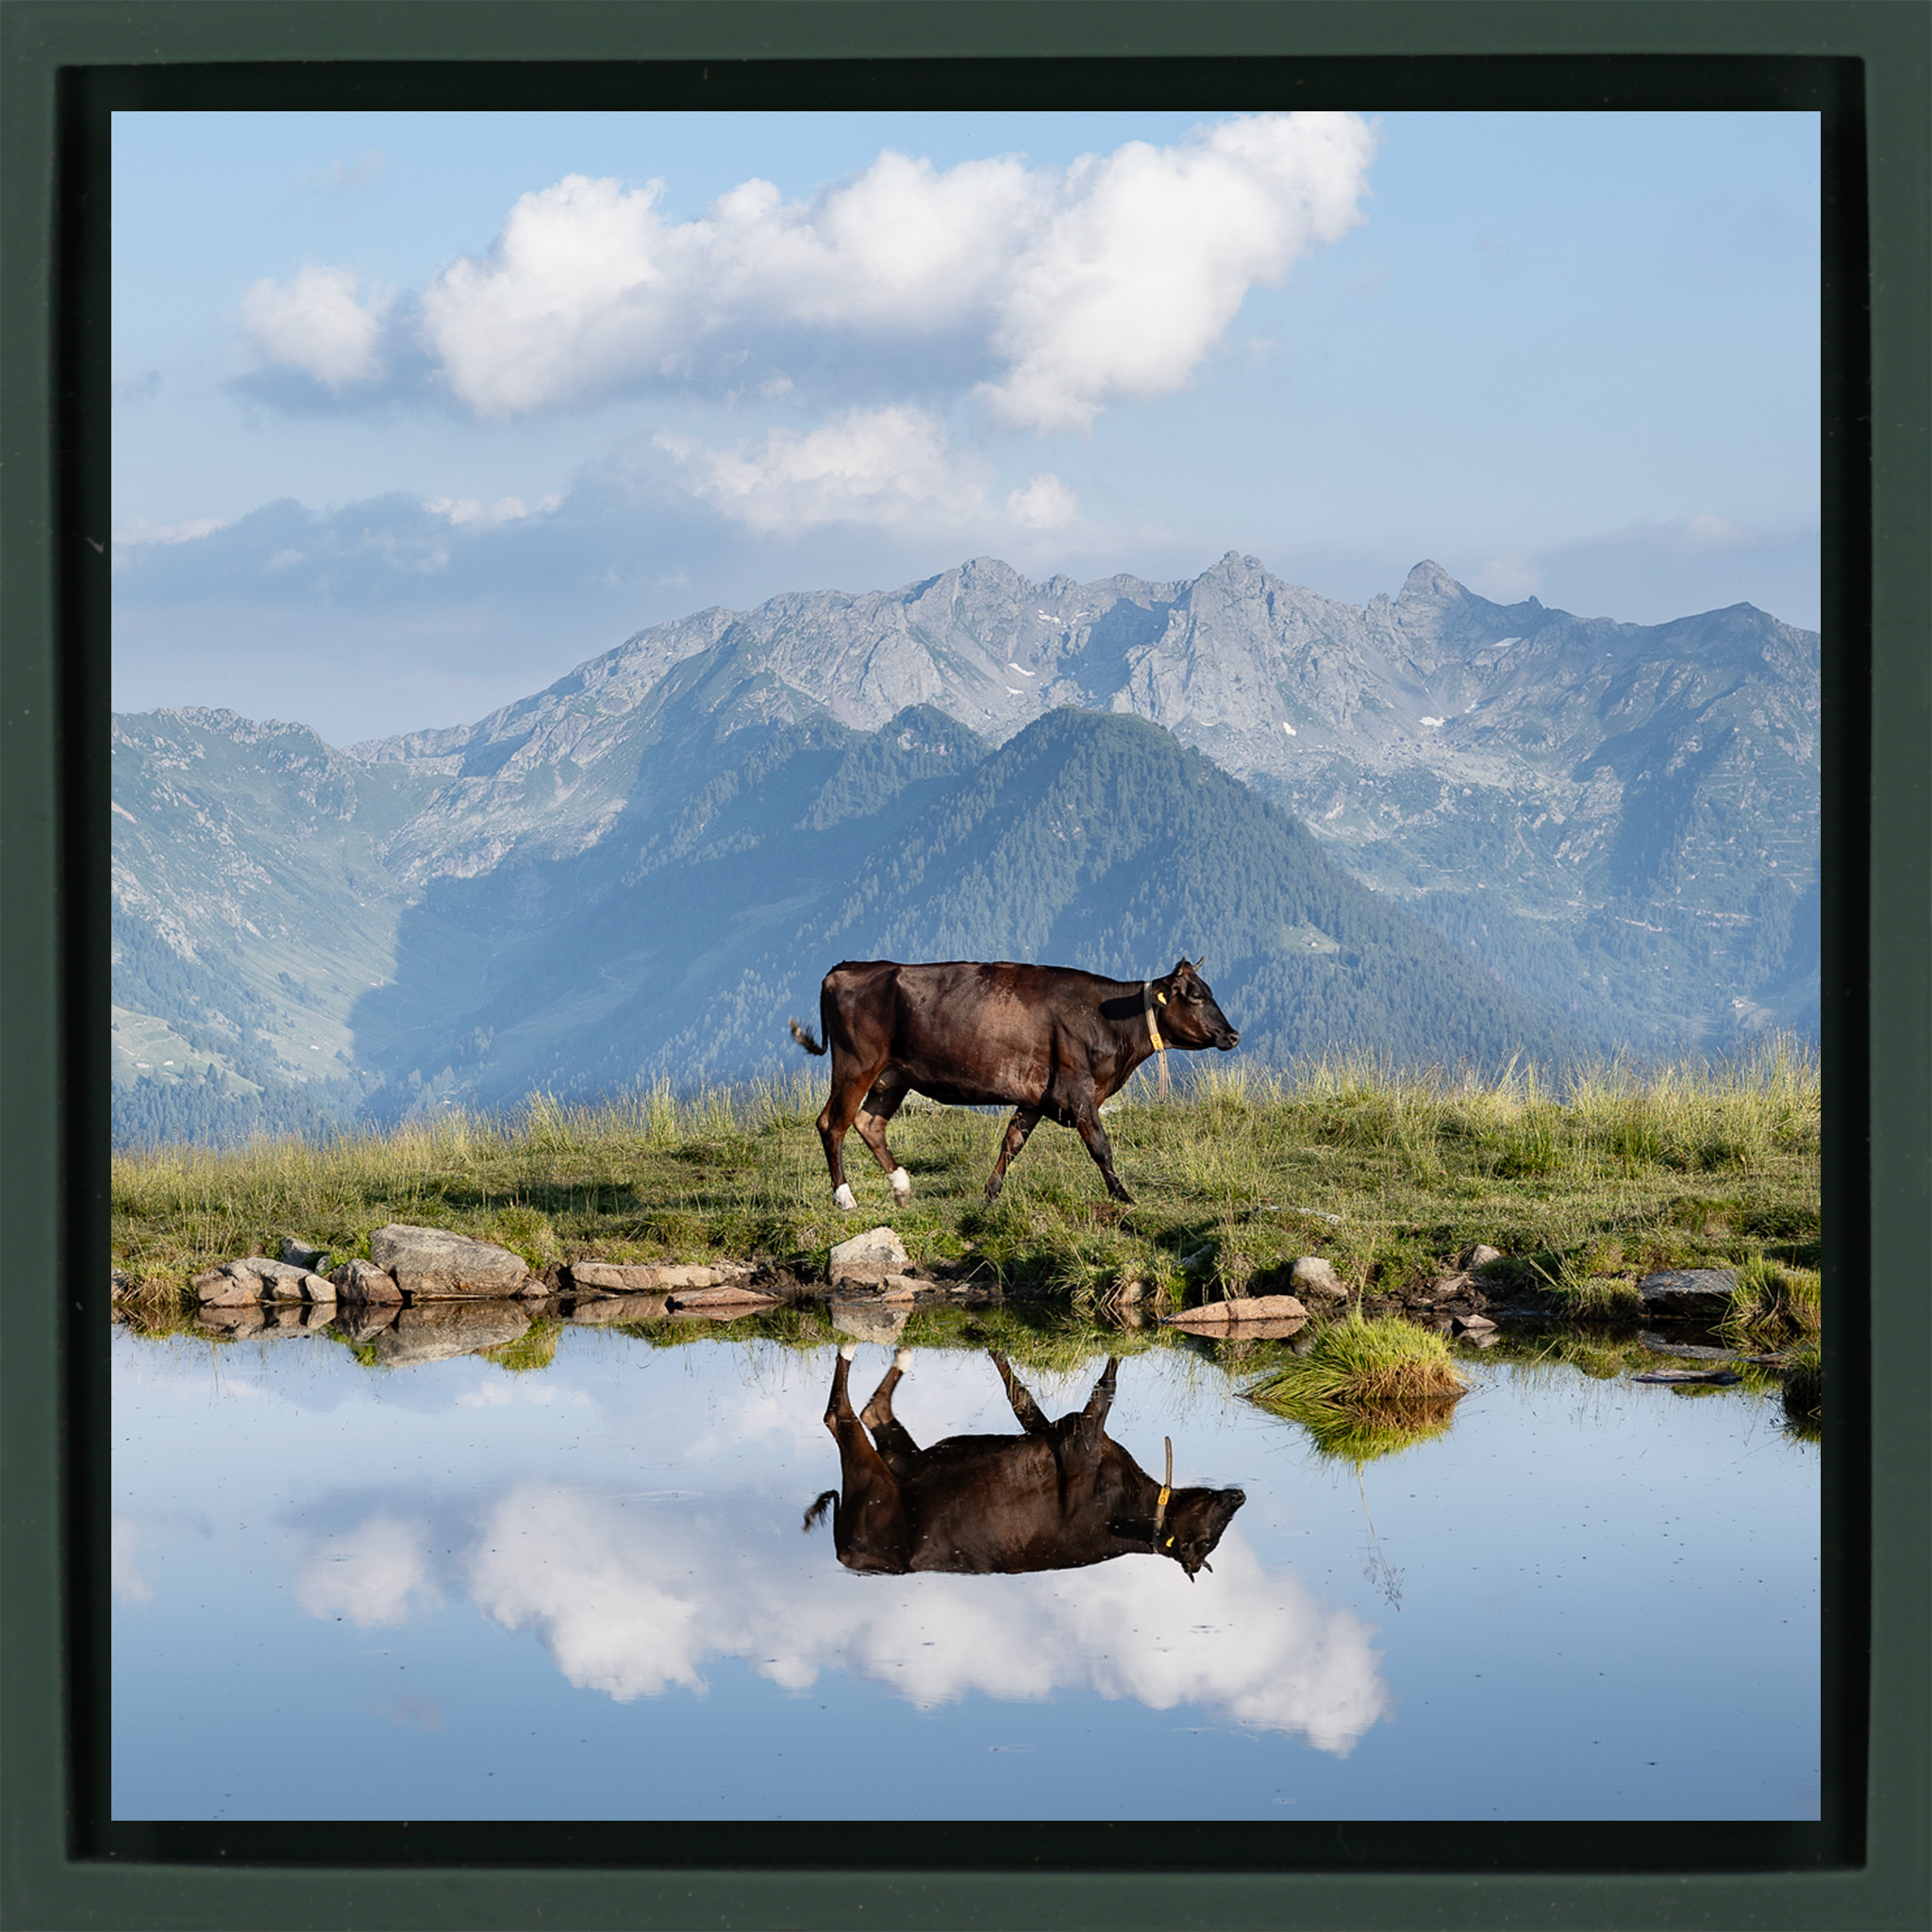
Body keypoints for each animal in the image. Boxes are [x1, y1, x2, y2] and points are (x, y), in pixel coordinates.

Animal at [786, 957, 1238, 1209]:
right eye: (1196, 996)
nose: (1233, 1035)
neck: (1108, 1019)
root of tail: (847, 968)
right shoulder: (1078, 1092)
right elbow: (1101, 1147)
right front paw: (1124, 1196)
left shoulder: (1037, 1098)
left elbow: (1012, 1142)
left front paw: (990, 1194)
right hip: (856, 1064)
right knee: (833, 1124)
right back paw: (845, 1198)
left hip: (892, 1077)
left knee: (869, 1124)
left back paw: (901, 1187)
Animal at [804, 1347, 1247, 1581]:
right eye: (1205, 1540)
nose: (1240, 1495)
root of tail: (846, 1554)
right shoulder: (1075, 1435)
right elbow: (1074, 1388)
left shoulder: (1071, 1435)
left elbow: (1034, 1395)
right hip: (879, 1478)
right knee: (845, 1413)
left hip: (888, 1471)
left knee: (857, 1412)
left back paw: (891, 1353)